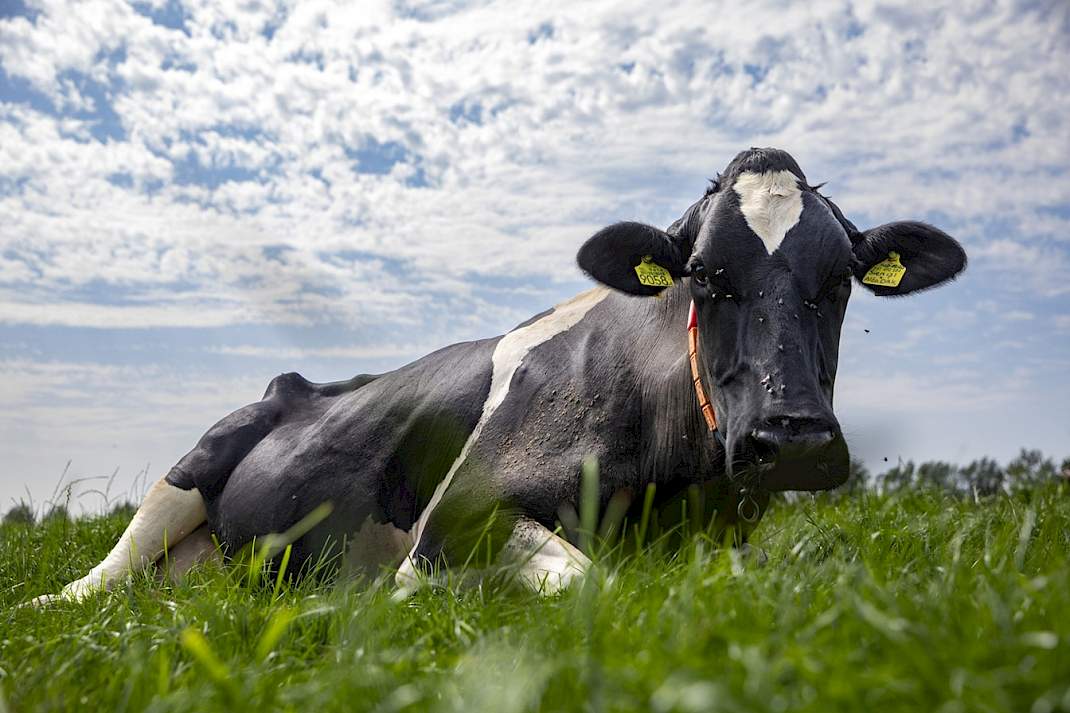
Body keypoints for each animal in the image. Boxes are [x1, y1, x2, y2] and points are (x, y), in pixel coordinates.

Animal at [36, 147, 965, 604]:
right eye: (705, 275)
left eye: (840, 278)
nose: (793, 437)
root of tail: (297, 383)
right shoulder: (455, 516)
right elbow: (587, 584)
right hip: (192, 466)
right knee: (102, 578)